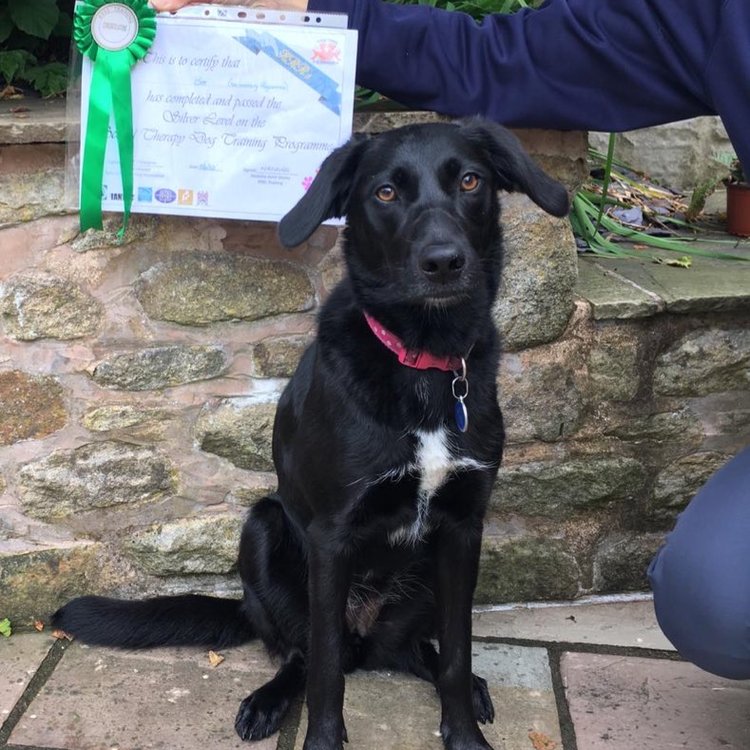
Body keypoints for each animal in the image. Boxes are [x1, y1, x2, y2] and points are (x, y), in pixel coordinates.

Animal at [53, 120, 568, 748]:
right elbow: (324, 672)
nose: (444, 261)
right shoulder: (331, 536)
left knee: (406, 651)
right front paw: (321, 737)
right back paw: (269, 700)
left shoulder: (463, 529)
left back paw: (461, 683)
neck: (424, 359)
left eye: (470, 181)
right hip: (264, 529)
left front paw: (465, 734)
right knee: (307, 654)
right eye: (385, 193)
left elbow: (455, 651)